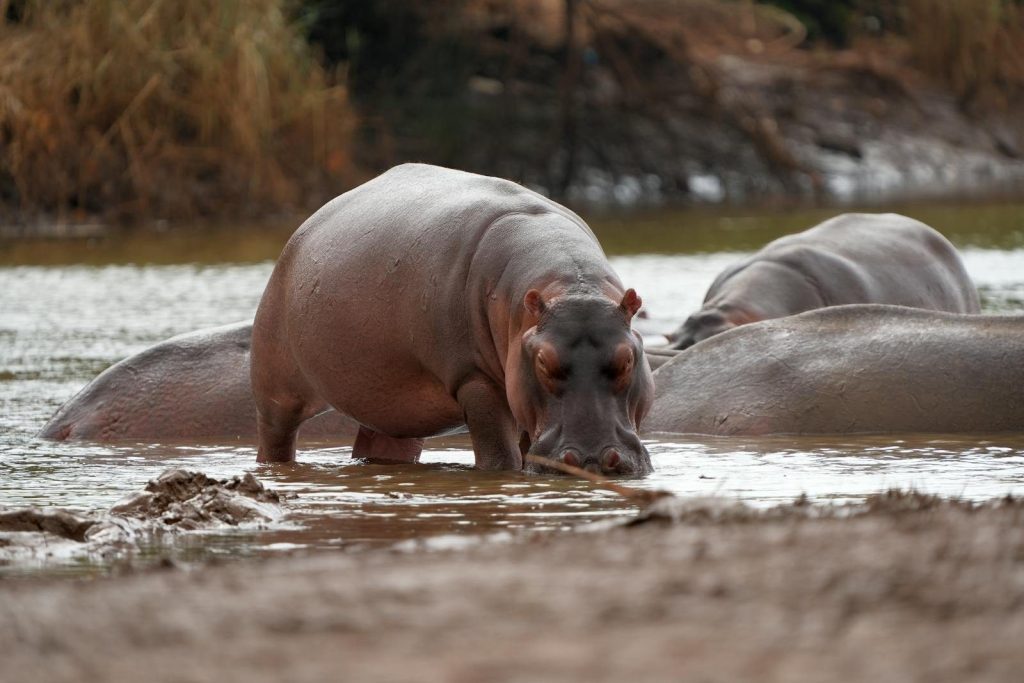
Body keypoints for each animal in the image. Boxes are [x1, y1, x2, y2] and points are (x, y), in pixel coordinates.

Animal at [251, 163, 654, 475]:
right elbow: (501, 456)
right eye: (543, 361)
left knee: (384, 444)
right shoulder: (474, 379)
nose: (591, 460)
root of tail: (304, 228)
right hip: (277, 390)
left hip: (393, 406)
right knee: (276, 437)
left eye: (627, 359)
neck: (570, 286)